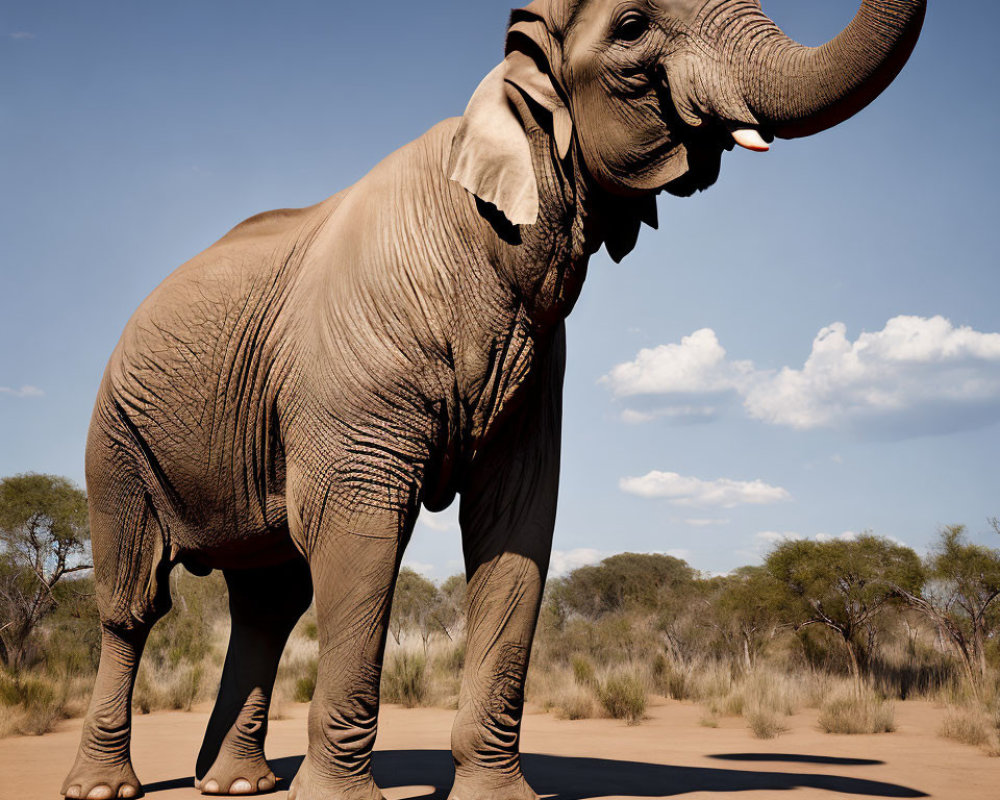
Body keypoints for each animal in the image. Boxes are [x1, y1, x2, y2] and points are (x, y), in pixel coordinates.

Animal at [60, 1, 920, 800]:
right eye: (632, 28)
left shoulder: (537, 352)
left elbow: (514, 525)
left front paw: (497, 795)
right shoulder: (357, 372)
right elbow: (359, 530)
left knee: (269, 601)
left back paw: (239, 786)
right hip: (118, 435)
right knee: (135, 605)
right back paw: (107, 786)